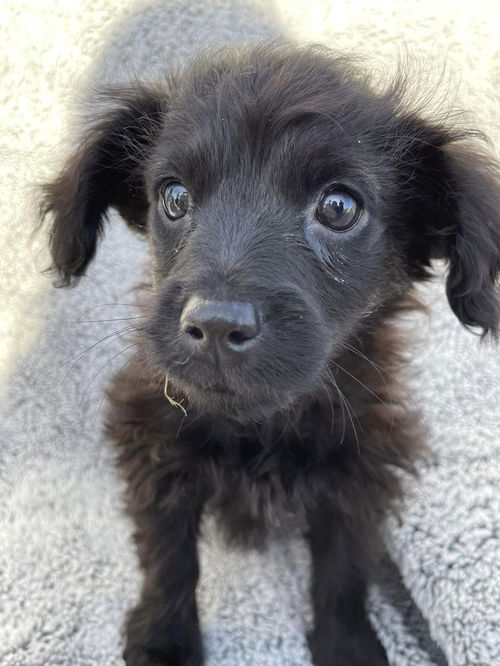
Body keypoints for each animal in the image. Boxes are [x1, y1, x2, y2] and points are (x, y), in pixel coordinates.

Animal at [43, 44, 500, 660]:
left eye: (338, 207)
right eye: (174, 197)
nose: (216, 324)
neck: (259, 425)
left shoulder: (360, 470)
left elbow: (343, 566)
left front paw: (348, 646)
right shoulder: (153, 444)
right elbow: (167, 555)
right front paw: (163, 639)